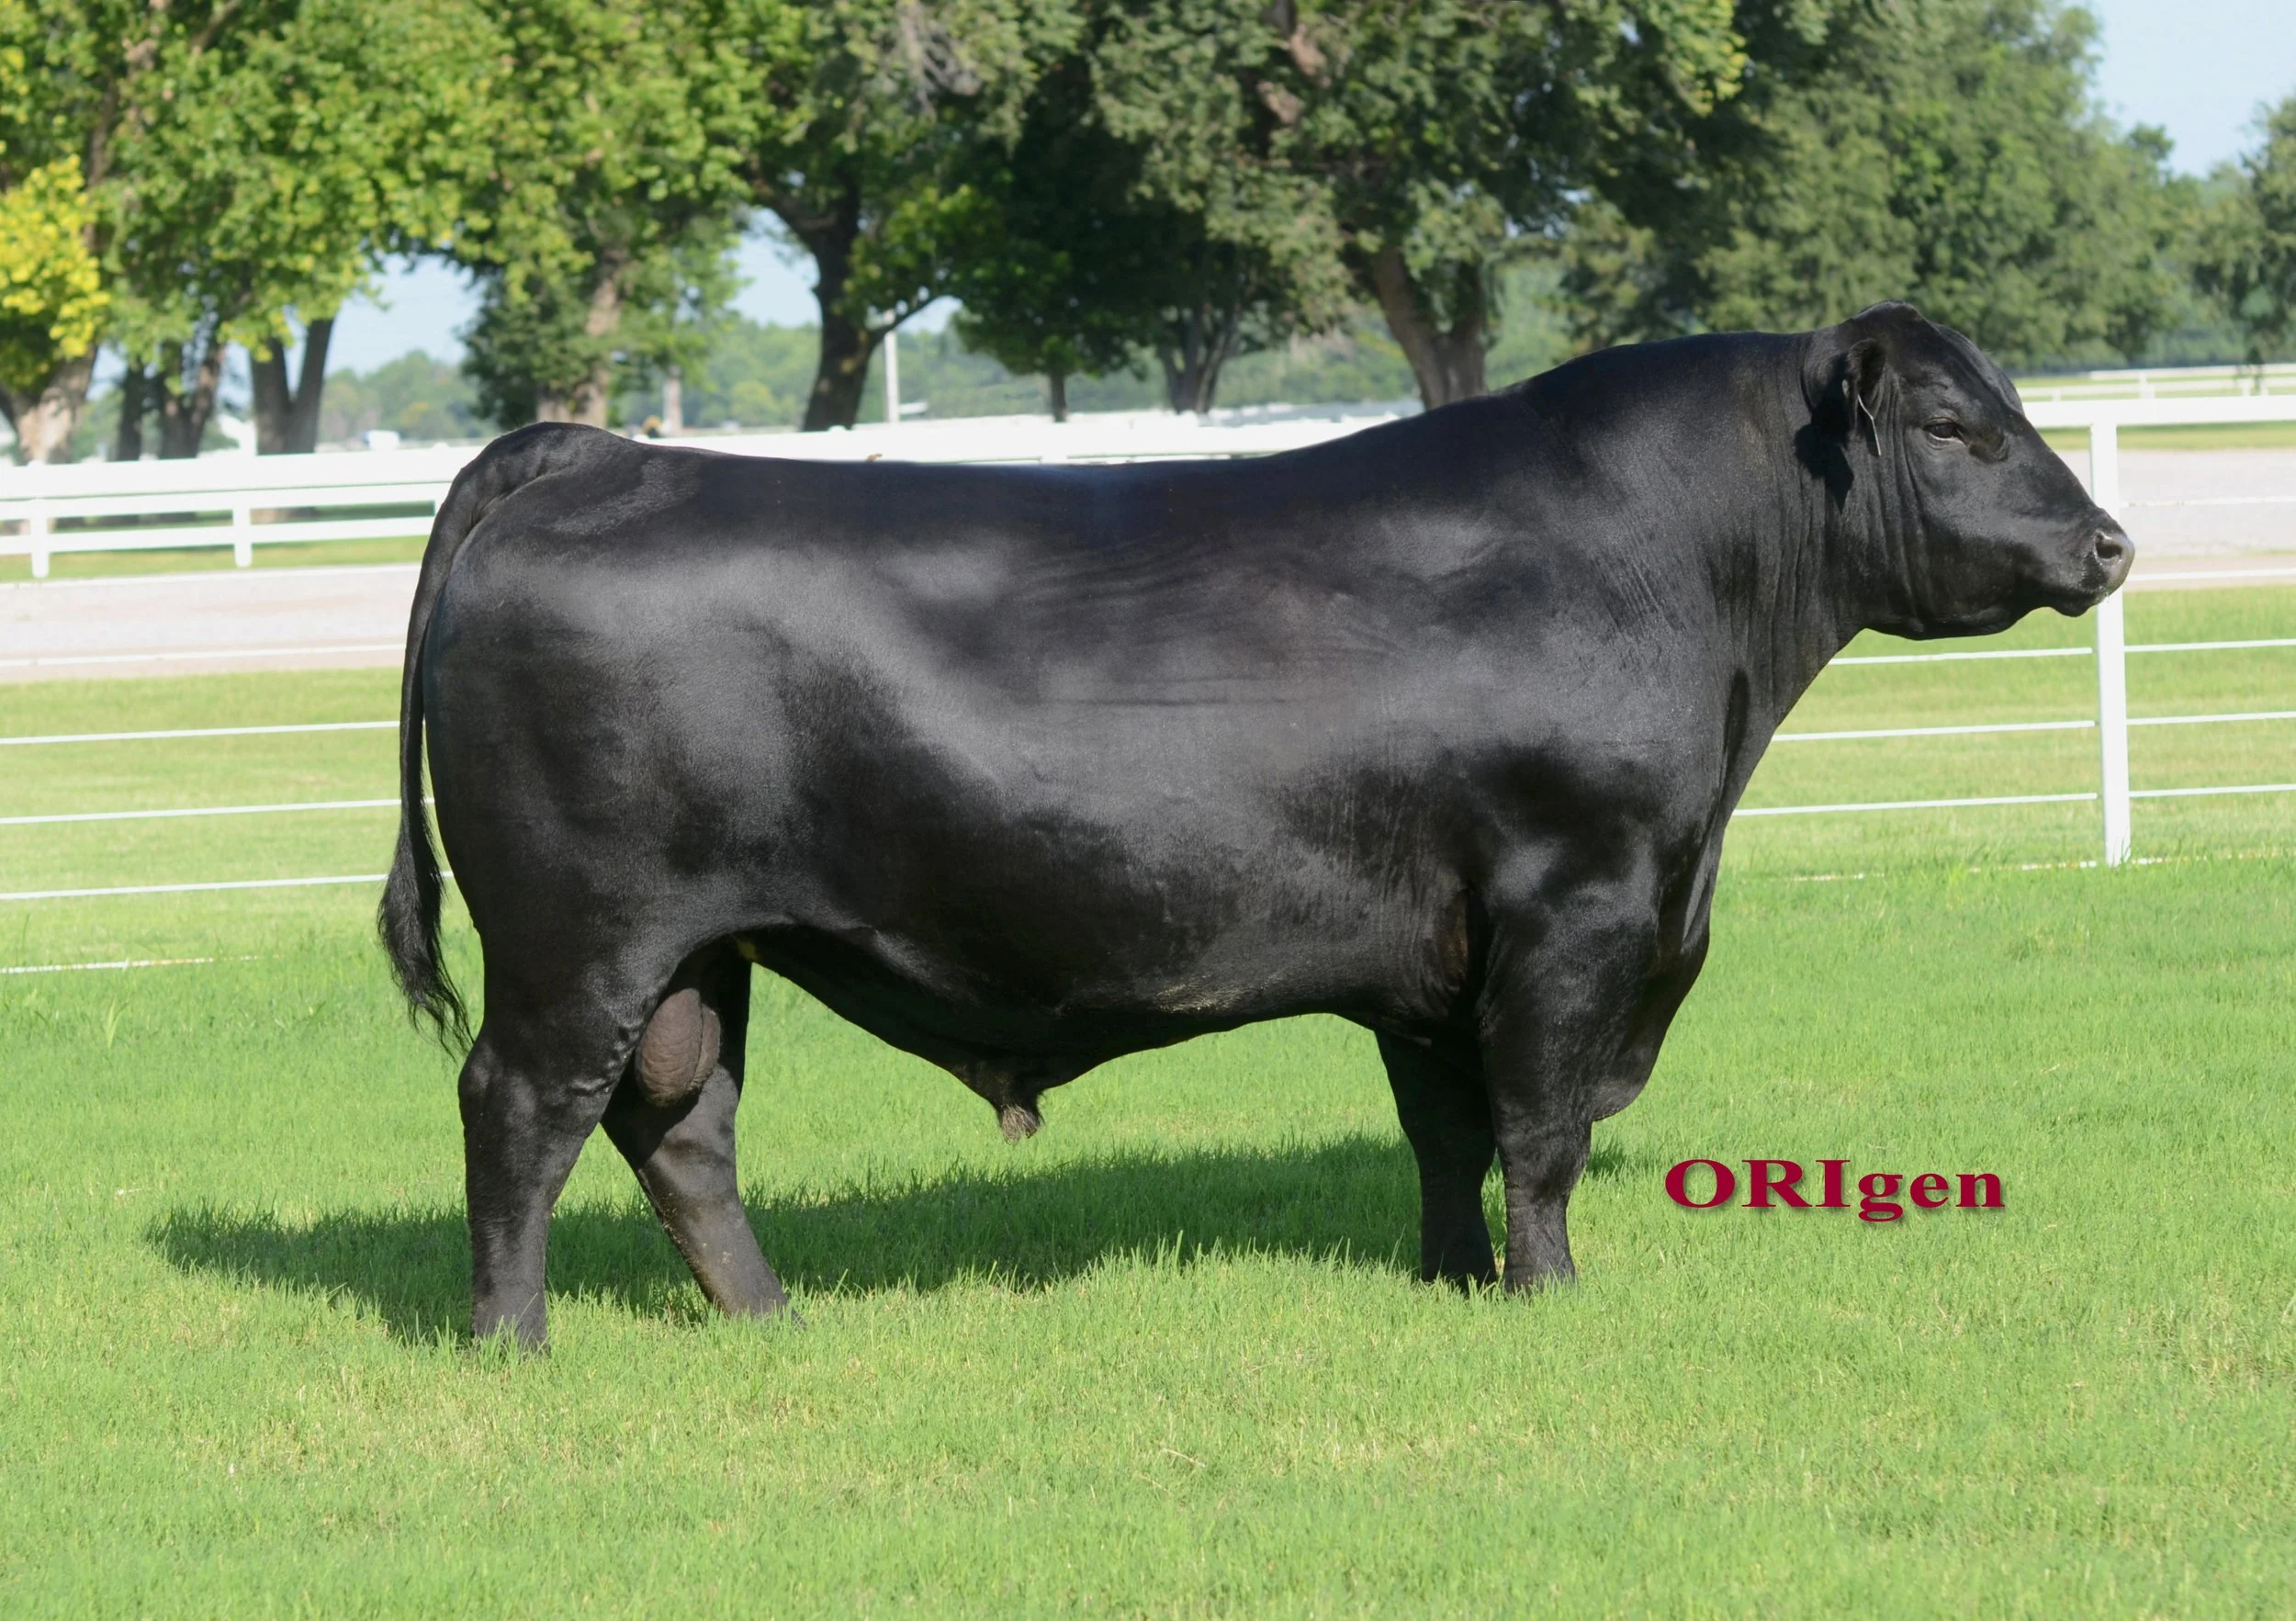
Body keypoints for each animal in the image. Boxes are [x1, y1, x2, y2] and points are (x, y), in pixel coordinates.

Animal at [379, 301, 2129, 1347]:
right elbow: (1543, 1129)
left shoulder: (1442, 950)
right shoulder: (1576, 906)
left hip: (700, 951)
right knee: (521, 1111)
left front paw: (1450, 1283)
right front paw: (1549, 1298)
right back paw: (511, 1340)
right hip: (580, 940)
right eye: (1957, 426)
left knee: (682, 1128)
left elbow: (1450, 1128)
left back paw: (767, 1319)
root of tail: (591, 456)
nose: (2110, 541)